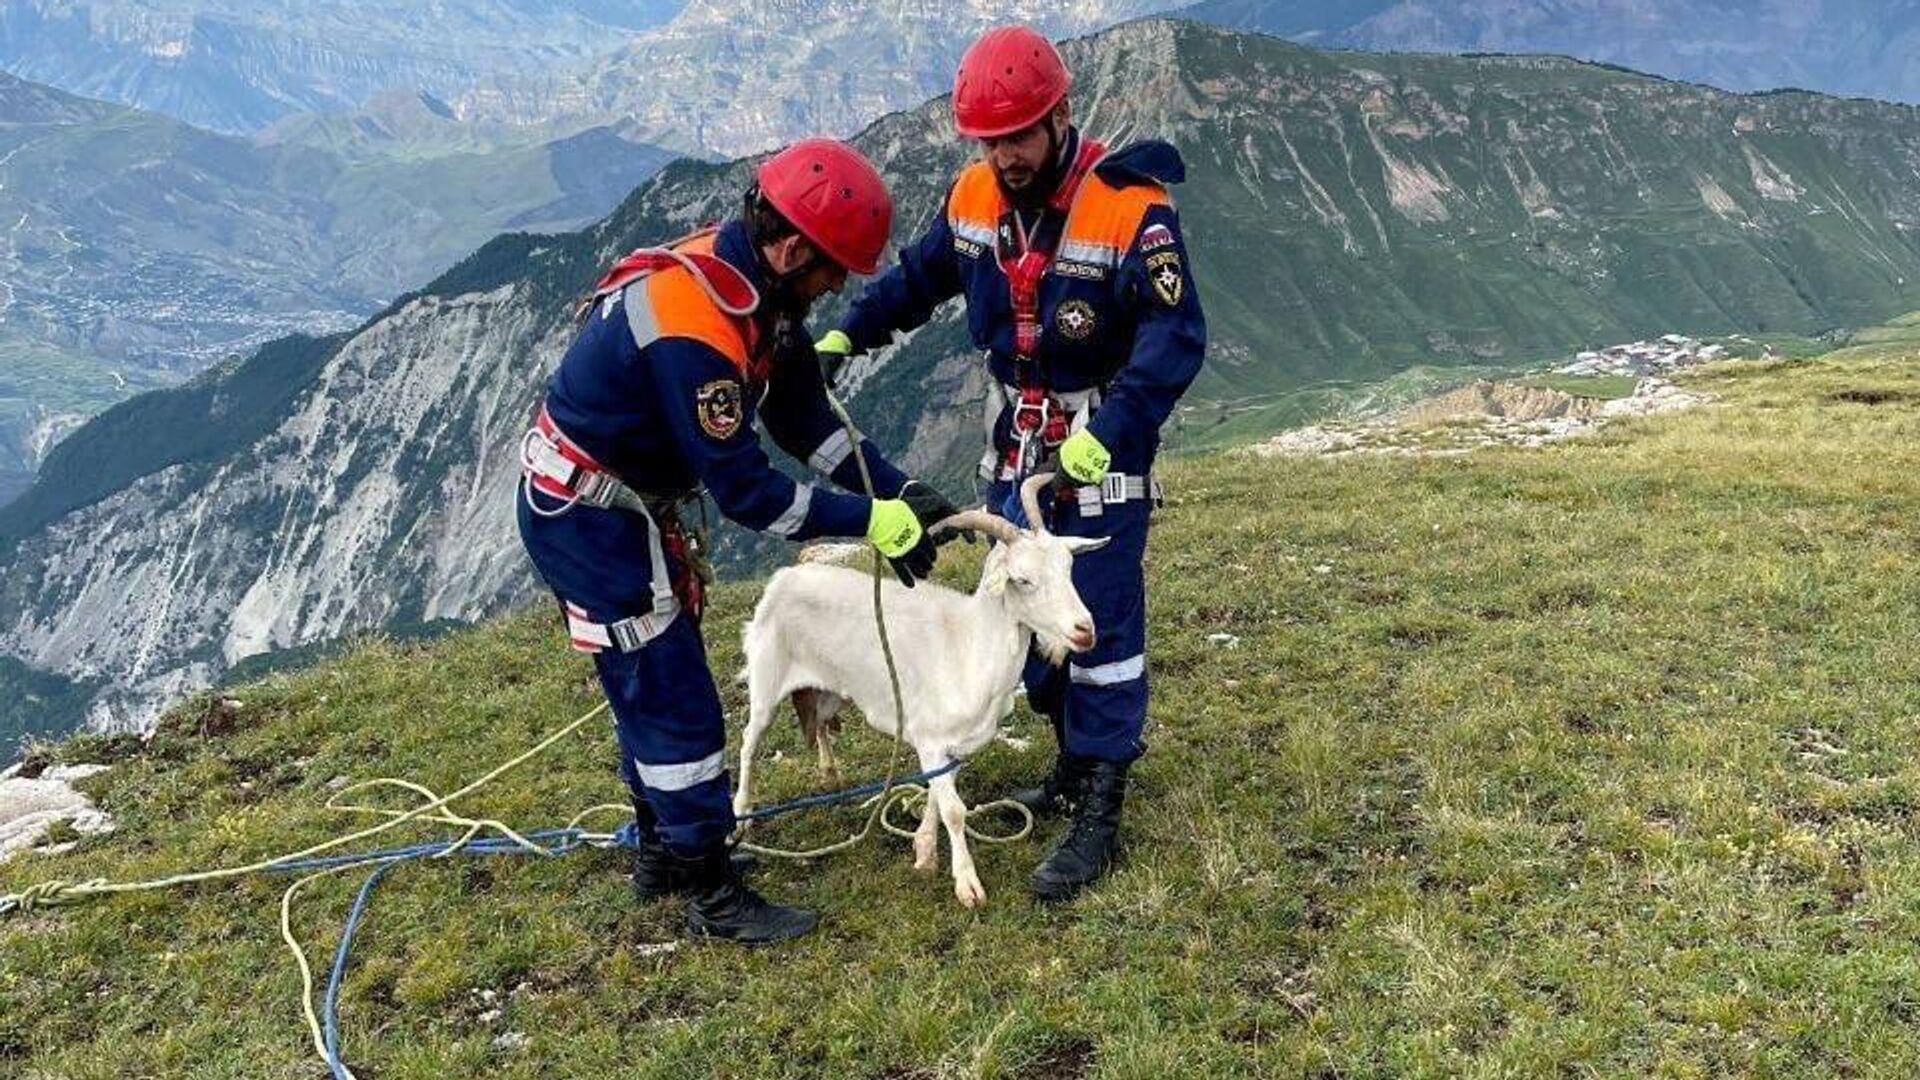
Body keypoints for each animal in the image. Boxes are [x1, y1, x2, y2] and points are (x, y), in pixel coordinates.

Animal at [737, 474, 1105, 903]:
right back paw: (742, 815)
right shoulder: (930, 739)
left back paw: (830, 773)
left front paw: (925, 851)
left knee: (820, 723)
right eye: (1024, 580)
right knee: (749, 743)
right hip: (767, 680)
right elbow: (955, 811)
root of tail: (783, 578)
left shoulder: (952, 747)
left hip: (830, 689)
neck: (967, 645)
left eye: (1069, 567)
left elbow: (936, 796)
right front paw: (967, 884)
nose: (1085, 630)